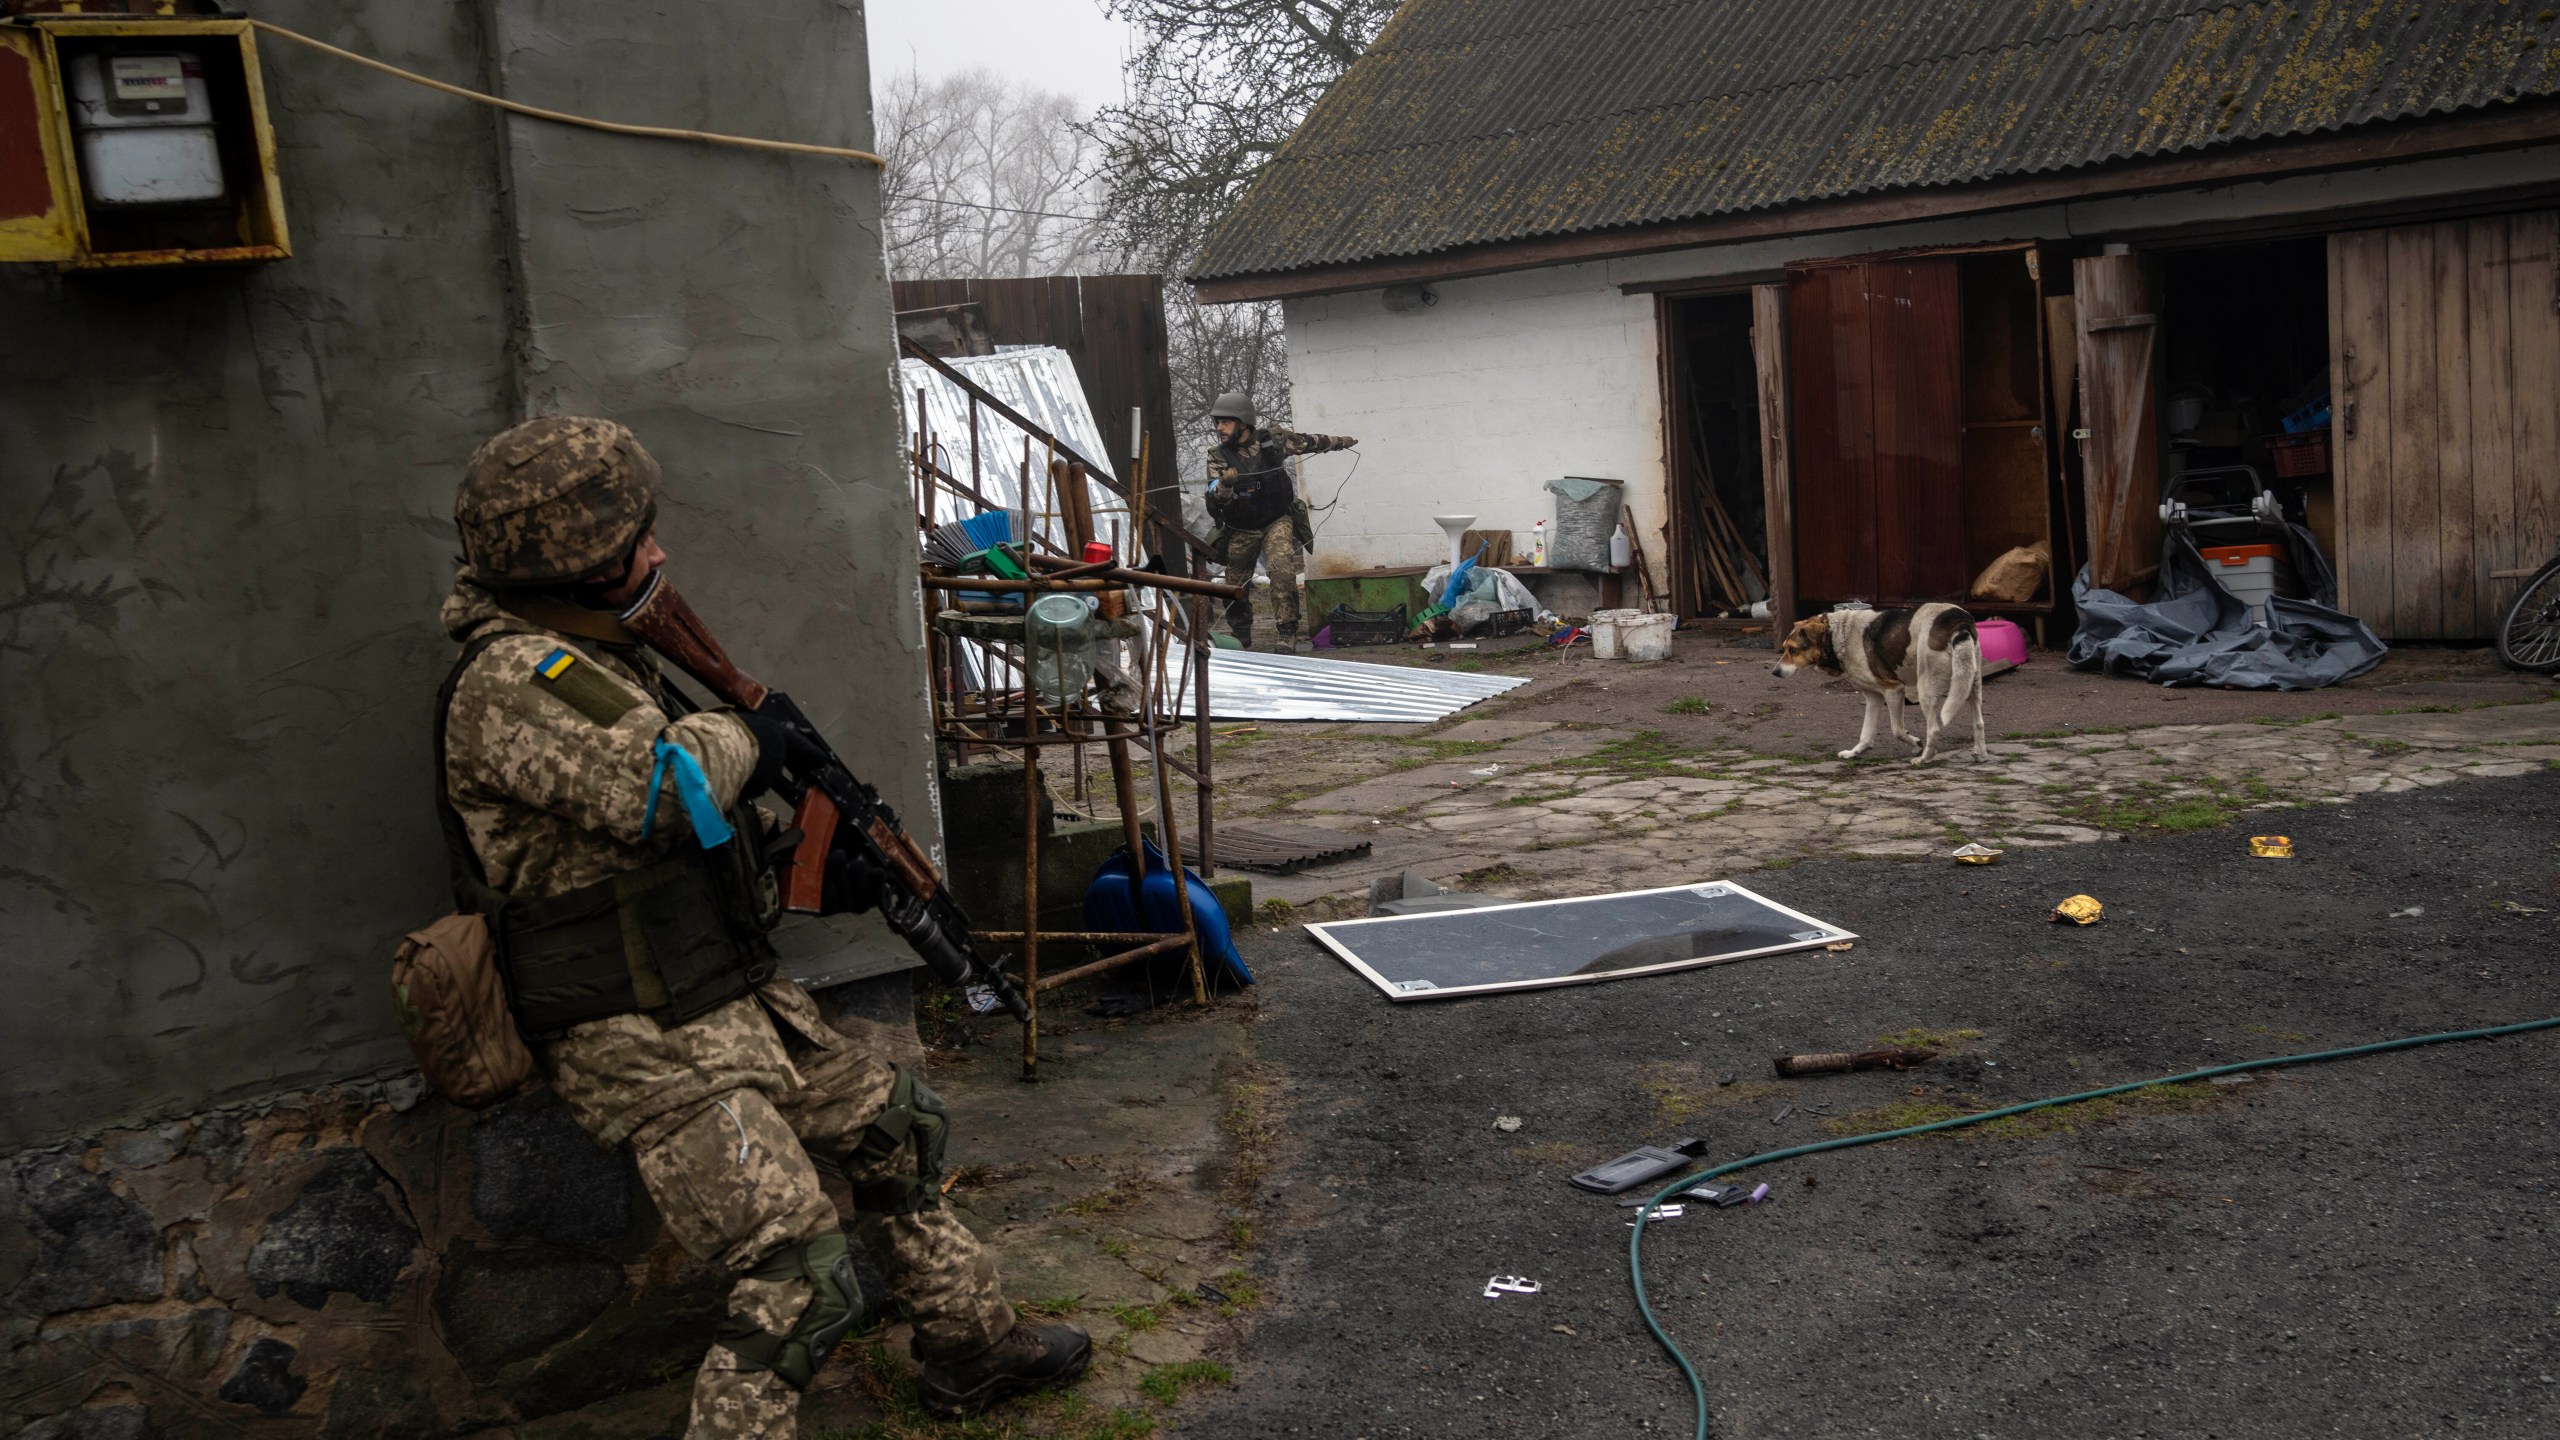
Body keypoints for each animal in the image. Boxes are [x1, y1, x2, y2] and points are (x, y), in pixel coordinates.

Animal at [1771, 599, 1986, 763]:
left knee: (1934, 728)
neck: (1840, 635)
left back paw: (1924, 759)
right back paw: (1980, 754)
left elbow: (1897, 730)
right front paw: (1855, 753)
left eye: (1793, 650)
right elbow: (1866, 733)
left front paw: (1916, 744)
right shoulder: (1873, 696)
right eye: (1785, 648)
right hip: (1970, 684)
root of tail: (1958, 620)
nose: (1775, 672)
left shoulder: (1893, 691)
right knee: (1979, 722)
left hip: (1926, 690)